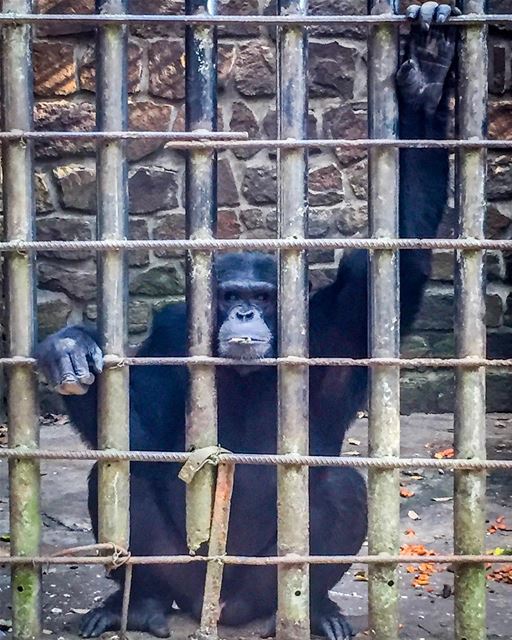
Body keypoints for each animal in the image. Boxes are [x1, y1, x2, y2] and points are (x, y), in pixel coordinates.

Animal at [38, 6, 458, 640]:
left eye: (262, 296)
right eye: (232, 294)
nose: (243, 312)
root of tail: (223, 609)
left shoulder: (340, 322)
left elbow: (397, 257)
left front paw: (429, 79)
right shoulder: (170, 335)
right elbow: (141, 436)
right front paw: (70, 349)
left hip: (267, 579)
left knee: (341, 487)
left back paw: (314, 608)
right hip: (186, 573)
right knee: (122, 479)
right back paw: (136, 602)